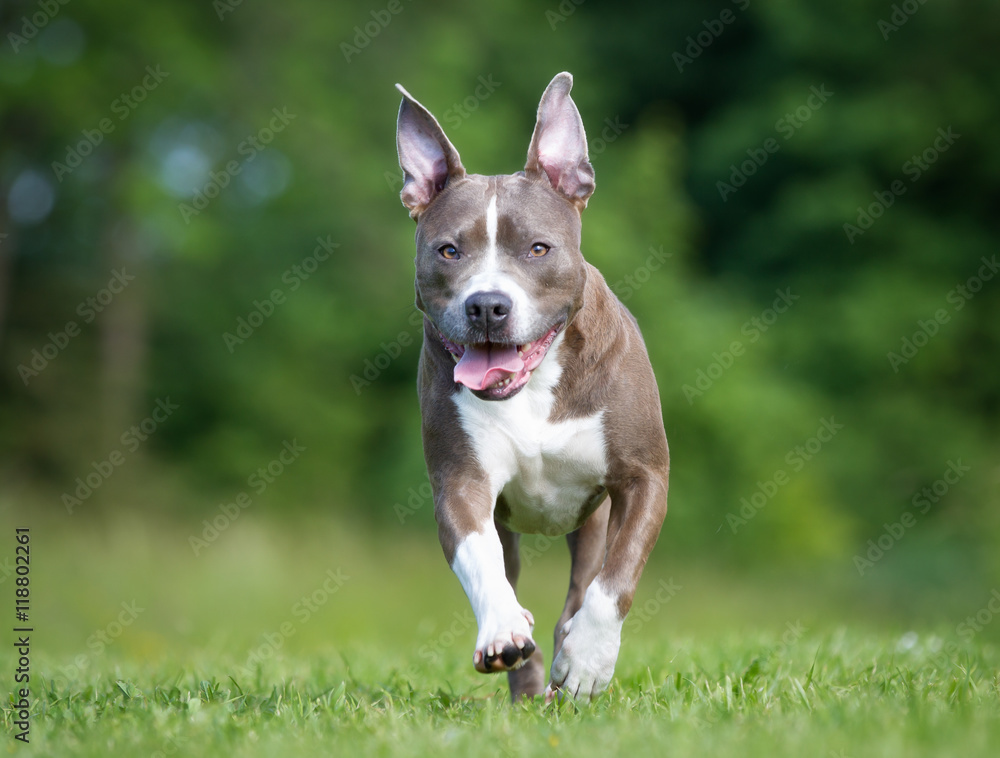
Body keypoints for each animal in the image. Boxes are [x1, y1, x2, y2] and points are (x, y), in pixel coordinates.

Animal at [394, 74, 668, 704]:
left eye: (538, 249)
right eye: (449, 250)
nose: (487, 305)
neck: (532, 389)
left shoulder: (644, 477)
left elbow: (615, 578)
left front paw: (588, 660)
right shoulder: (462, 483)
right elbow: (480, 560)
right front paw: (501, 631)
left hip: (592, 522)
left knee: (583, 585)